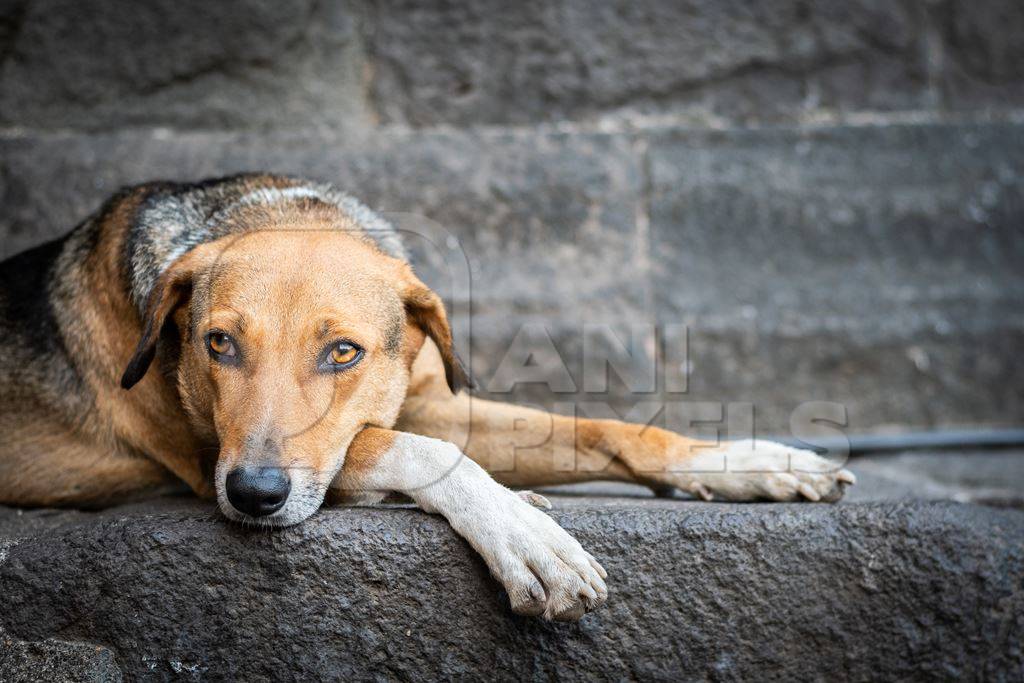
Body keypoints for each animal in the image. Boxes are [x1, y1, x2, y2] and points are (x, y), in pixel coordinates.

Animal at [0, 174, 856, 622]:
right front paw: (521, 530)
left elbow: (605, 428)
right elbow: (411, 448)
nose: (252, 495)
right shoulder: (216, 451)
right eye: (217, 344)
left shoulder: (429, 402)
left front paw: (744, 460)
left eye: (343, 351)